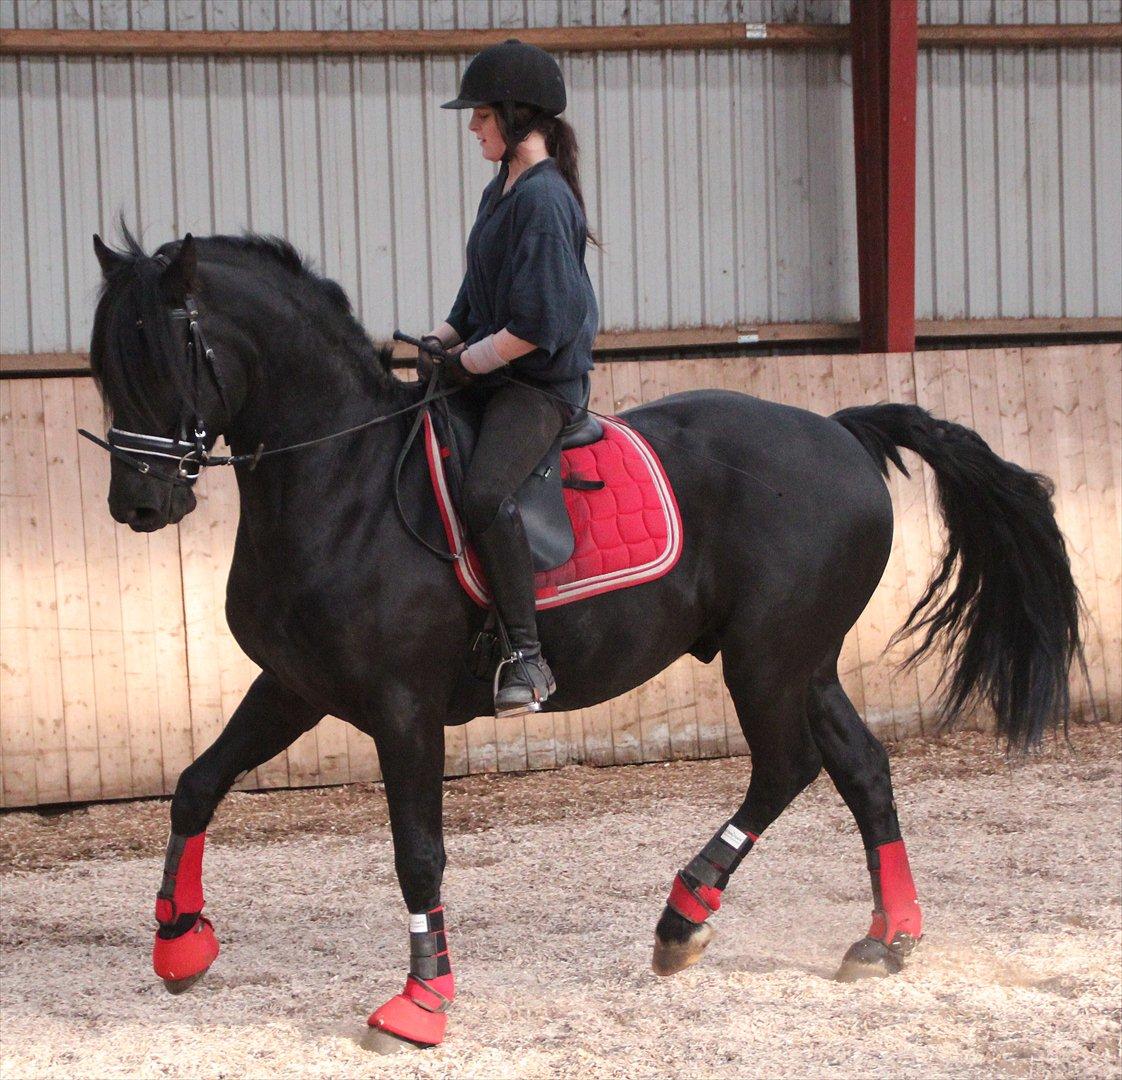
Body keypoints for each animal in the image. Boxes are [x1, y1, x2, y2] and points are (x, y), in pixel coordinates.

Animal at [89, 232, 1086, 1049]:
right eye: (104, 363)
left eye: (166, 356)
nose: (139, 505)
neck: (343, 480)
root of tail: (840, 432)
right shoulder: (294, 687)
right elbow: (196, 786)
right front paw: (179, 942)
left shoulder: (402, 708)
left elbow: (418, 852)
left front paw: (421, 1004)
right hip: (805, 660)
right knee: (862, 769)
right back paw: (886, 939)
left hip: (767, 658)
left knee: (787, 766)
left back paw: (683, 919)